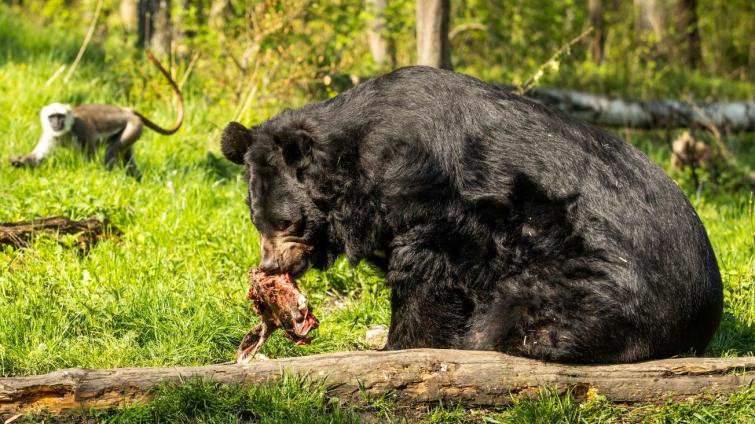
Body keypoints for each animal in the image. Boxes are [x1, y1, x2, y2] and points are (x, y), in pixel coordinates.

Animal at [11, 52, 185, 178]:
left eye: (60, 117)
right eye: (52, 117)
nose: (56, 124)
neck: (66, 131)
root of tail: (126, 111)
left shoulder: (82, 130)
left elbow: (90, 161)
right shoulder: (50, 134)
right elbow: (38, 157)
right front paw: (19, 161)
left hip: (133, 127)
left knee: (110, 153)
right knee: (128, 161)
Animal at [221, 67, 724, 364]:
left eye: (288, 223)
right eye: (256, 221)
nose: (272, 267)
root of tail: (702, 320)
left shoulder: (433, 197)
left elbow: (428, 269)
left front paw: (400, 343)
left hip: (592, 285)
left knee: (519, 321)